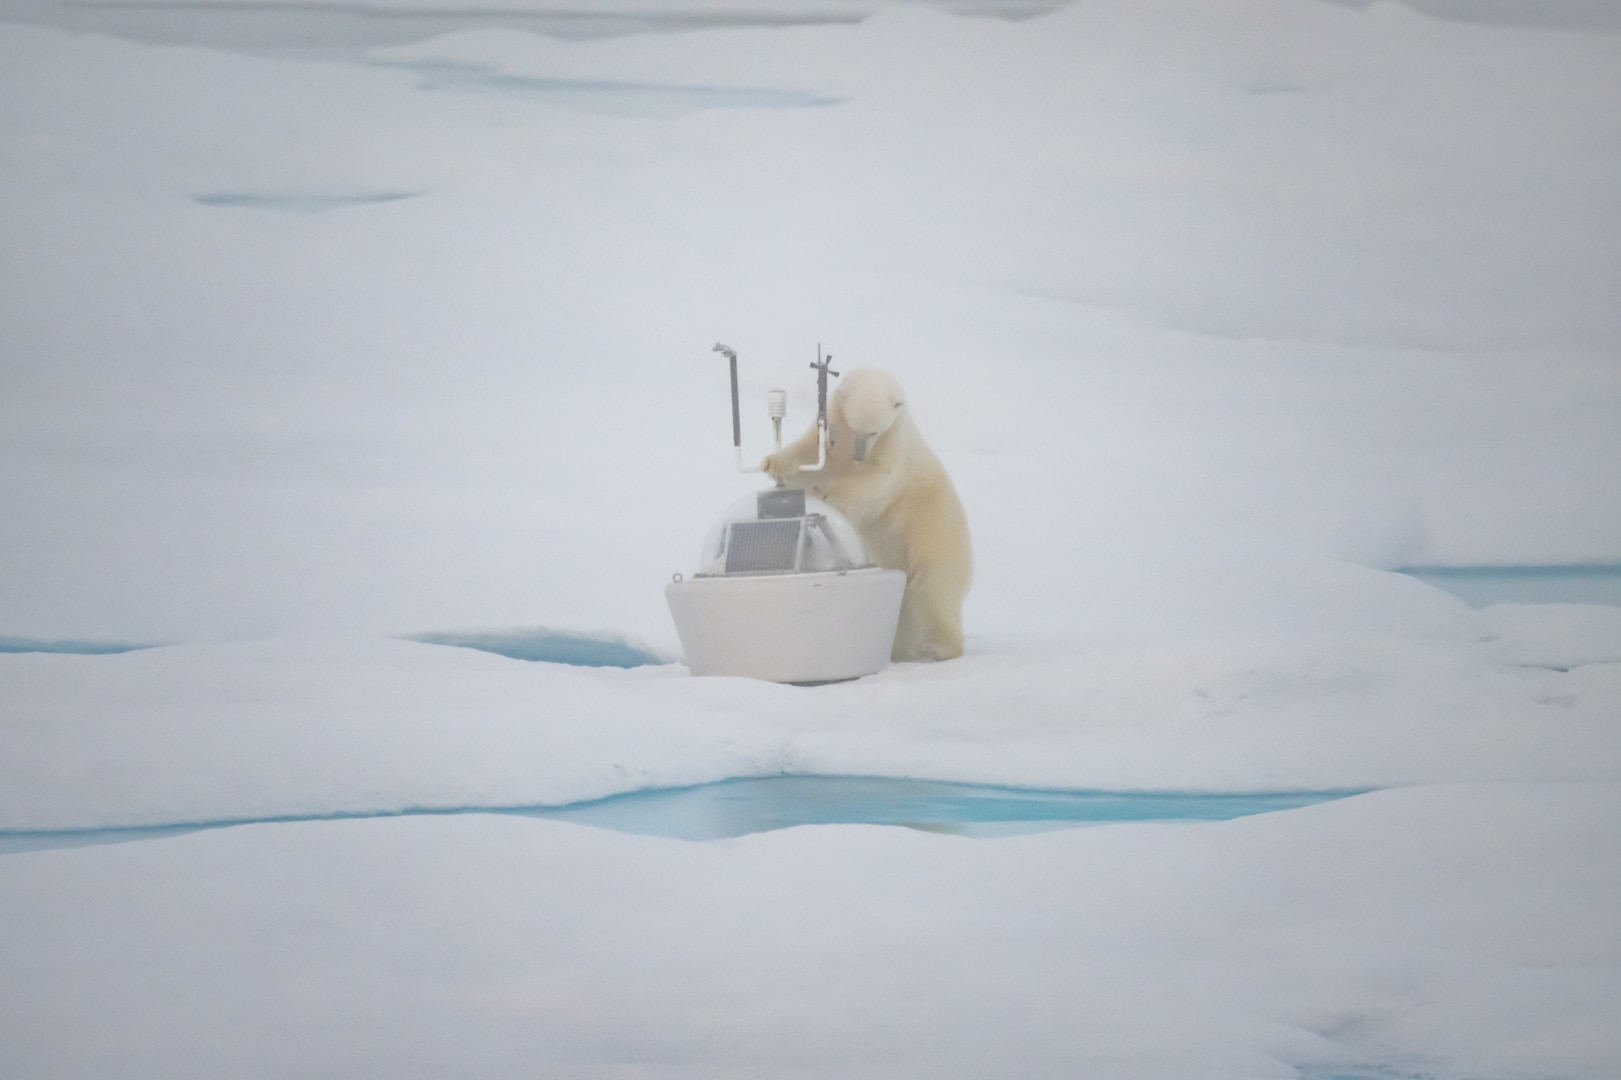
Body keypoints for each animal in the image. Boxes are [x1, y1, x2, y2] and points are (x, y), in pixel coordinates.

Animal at [761, 366, 966, 661]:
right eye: (856, 427)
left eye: (873, 432)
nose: (859, 456)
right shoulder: (833, 424)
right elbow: (811, 453)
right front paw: (775, 464)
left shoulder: (893, 441)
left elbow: (877, 479)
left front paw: (828, 493)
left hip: (933, 528)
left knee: (933, 586)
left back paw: (938, 647)